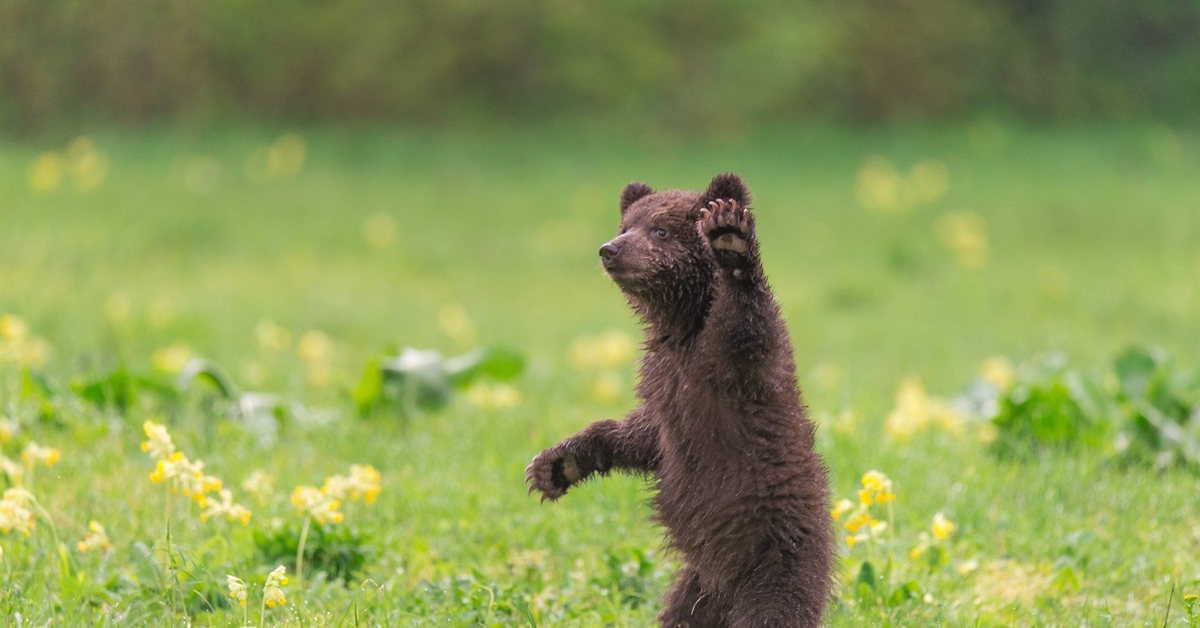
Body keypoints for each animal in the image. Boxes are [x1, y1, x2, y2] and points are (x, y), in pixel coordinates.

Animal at [528, 172, 835, 628]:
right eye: (627, 225)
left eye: (661, 230)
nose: (610, 249)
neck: (684, 325)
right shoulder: (662, 381)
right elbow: (644, 435)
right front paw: (556, 465)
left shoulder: (734, 365)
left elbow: (750, 322)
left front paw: (730, 237)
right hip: (698, 590)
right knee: (683, 614)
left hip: (780, 558)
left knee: (774, 611)